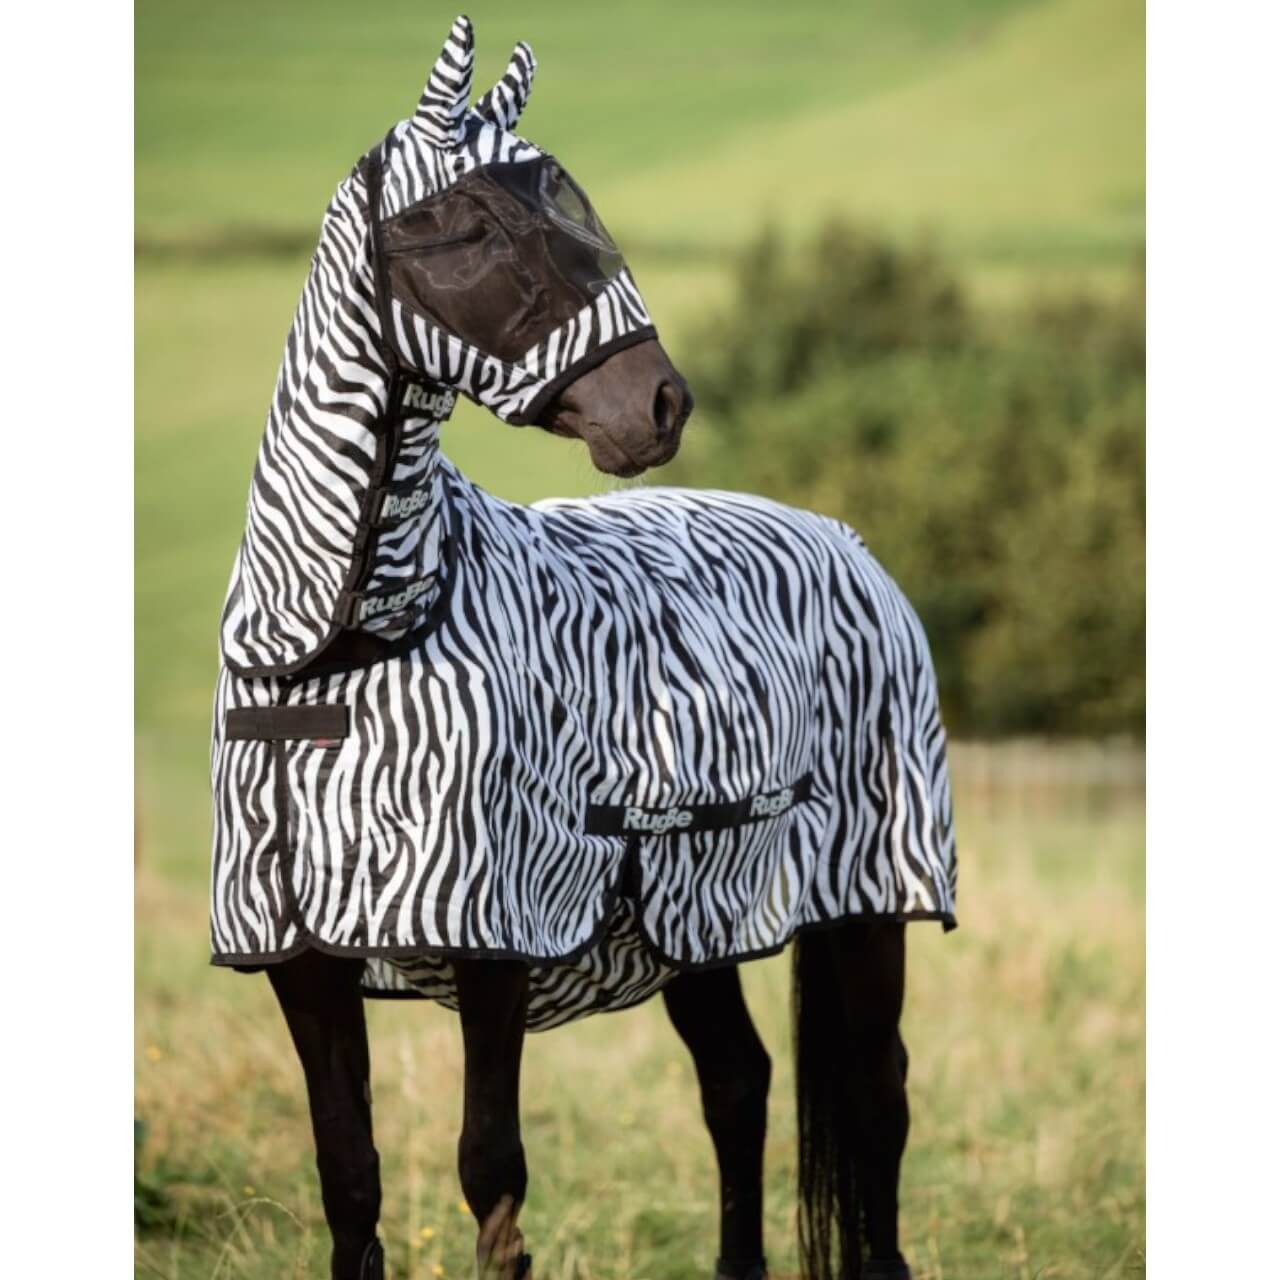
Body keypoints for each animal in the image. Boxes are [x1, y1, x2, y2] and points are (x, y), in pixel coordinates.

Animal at [210, 15, 956, 1280]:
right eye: (472, 223)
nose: (659, 405)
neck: (341, 646)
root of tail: (845, 540)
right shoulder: (303, 955)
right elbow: (350, 1178)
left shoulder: (492, 936)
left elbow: (490, 1175)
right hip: (697, 916)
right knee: (738, 1082)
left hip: (867, 897)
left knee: (875, 1102)